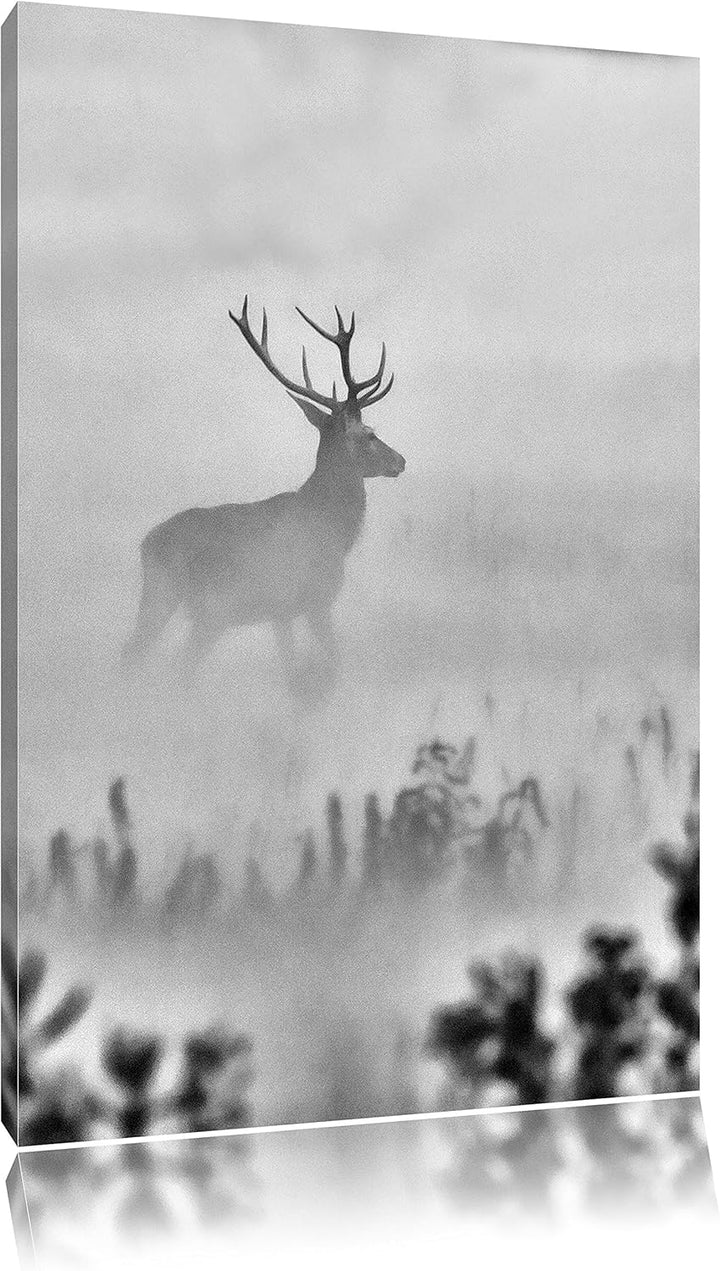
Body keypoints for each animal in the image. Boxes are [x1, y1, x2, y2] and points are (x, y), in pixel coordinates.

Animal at [122, 300, 404, 691]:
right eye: (370, 434)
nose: (400, 460)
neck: (334, 528)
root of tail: (147, 544)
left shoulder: (281, 612)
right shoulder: (312, 598)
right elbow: (328, 663)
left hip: (175, 601)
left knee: (142, 654)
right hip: (199, 602)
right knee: (163, 660)